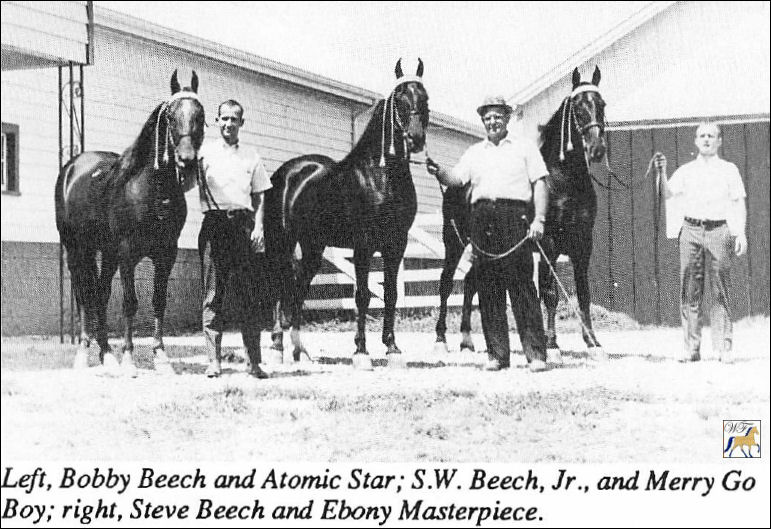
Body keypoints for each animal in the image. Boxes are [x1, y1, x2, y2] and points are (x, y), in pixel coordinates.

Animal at [55, 71, 205, 376]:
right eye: (171, 116)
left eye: (201, 114)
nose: (186, 161)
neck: (153, 189)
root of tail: (72, 167)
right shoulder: (127, 253)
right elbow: (130, 303)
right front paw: (128, 358)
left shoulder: (166, 254)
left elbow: (158, 301)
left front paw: (160, 356)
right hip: (77, 249)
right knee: (83, 295)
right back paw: (84, 353)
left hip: (106, 253)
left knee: (100, 294)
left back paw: (106, 354)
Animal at [266, 58, 432, 368]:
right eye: (400, 100)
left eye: (425, 99)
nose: (415, 139)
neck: (380, 175)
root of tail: (286, 172)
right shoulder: (363, 246)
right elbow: (362, 296)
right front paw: (361, 352)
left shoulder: (396, 245)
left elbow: (390, 295)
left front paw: (392, 348)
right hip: (284, 242)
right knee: (282, 286)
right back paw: (277, 348)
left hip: (313, 247)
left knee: (298, 288)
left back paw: (300, 352)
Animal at [434, 64, 608, 356]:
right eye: (578, 107)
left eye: (601, 104)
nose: (596, 148)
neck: (563, 181)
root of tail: (455, 182)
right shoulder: (549, 244)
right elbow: (550, 293)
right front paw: (552, 344)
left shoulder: (584, 244)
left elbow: (583, 293)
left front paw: (592, 341)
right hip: (454, 244)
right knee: (446, 283)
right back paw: (441, 339)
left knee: (470, 283)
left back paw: (467, 340)